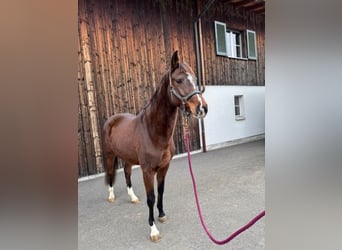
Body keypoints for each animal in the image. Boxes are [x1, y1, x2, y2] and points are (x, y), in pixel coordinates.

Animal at [101, 50, 208, 242]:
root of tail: (112, 119)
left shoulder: (164, 167)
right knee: (111, 173)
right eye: (179, 80)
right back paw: (112, 196)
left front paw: (162, 215)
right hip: (109, 154)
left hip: (127, 158)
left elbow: (161, 191)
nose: (202, 108)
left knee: (127, 173)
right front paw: (153, 230)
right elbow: (151, 198)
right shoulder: (148, 170)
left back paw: (133, 197)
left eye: (195, 79)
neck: (153, 131)